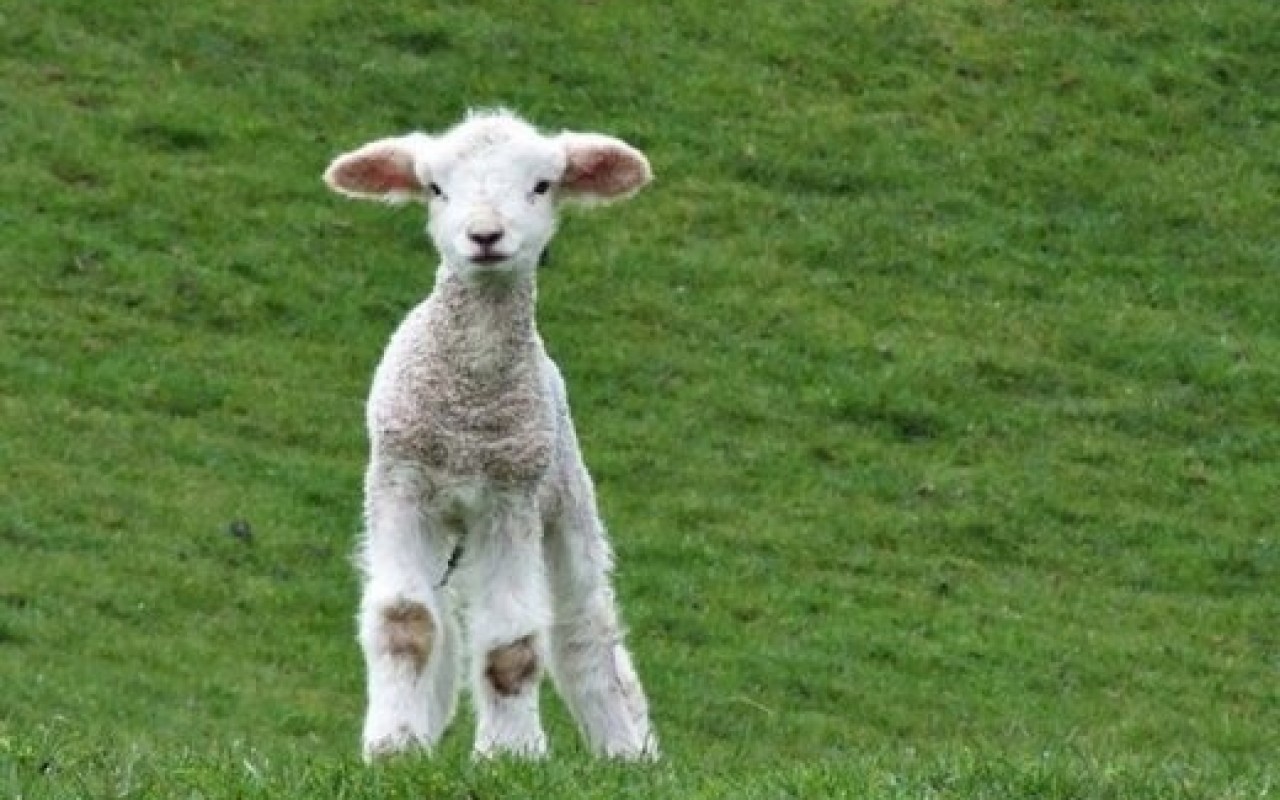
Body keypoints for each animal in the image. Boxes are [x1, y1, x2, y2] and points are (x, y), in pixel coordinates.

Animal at [320, 107, 660, 762]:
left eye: (542, 185)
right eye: (435, 188)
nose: (484, 237)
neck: (468, 413)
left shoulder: (509, 498)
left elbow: (513, 646)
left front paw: (509, 754)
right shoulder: (401, 484)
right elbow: (407, 623)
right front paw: (394, 747)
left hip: (567, 497)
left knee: (585, 628)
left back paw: (626, 754)